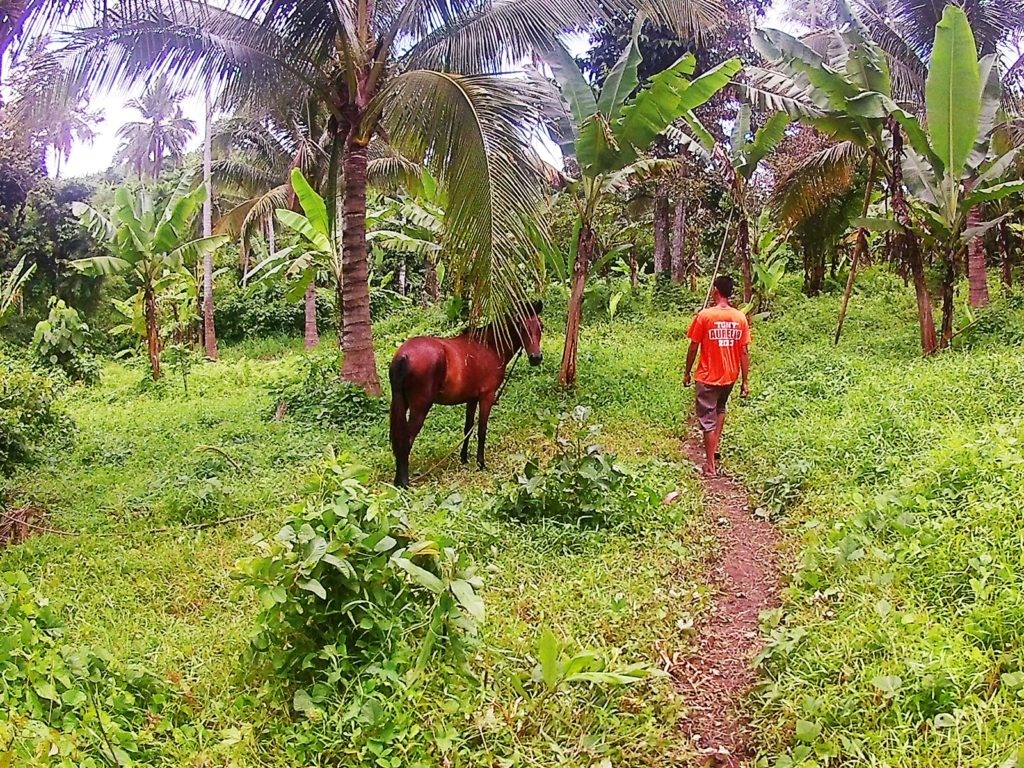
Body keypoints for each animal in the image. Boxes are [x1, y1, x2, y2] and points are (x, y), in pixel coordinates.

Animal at [387, 303, 544, 487]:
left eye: (540, 326)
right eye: (521, 327)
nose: (536, 358)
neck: (490, 346)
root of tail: (404, 356)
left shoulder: (472, 399)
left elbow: (468, 428)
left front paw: (463, 458)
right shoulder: (487, 396)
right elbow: (482, 429)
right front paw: (481, 463)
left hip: (401, 403)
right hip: (420, 407)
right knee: (407, 439)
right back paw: (404, 482)